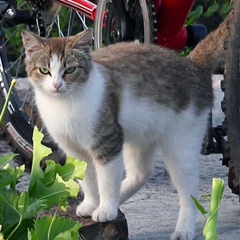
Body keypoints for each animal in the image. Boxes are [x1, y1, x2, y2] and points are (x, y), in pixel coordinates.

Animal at [21, 13, 229, 240]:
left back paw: (184, 228)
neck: (65, 105)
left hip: (182, 145)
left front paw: (106, 208)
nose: (57, 85)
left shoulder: (108, 141)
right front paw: (91, 203)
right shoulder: (74, 149)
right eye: (44, 70)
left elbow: (106, 179)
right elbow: (87, 179)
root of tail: (192, 64)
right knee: (141, 173)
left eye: (70, 70)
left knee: (188, 192)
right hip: (139, 138)